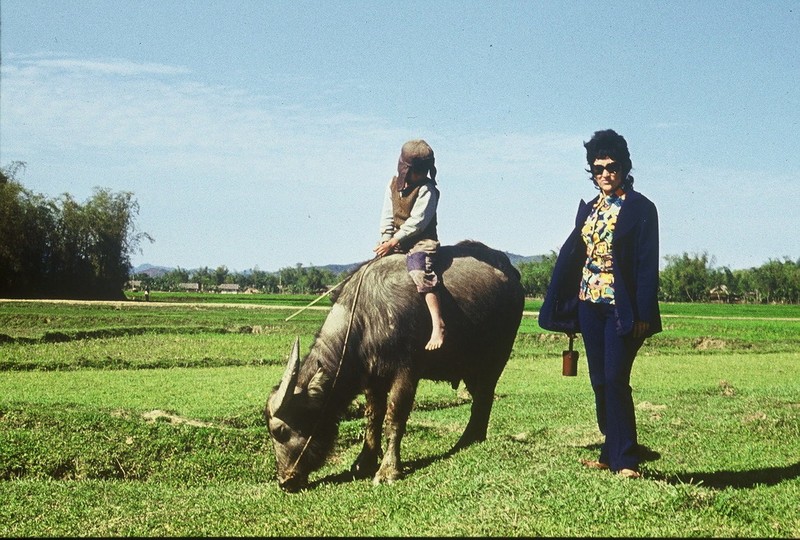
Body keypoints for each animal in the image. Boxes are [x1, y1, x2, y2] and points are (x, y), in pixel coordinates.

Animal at [264, 239, 524, 490]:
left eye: (281, 431)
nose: (285, 481)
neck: (366, 318)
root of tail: (512, 274)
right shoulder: (372, 378)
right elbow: (373, 416)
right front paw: (364, 462)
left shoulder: (407, 371)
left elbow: (395, 415)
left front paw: (388, 470)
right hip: (470, 366)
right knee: (480, 398)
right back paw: (472, 438)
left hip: (496, 357)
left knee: (485, 396)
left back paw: (466, 440)